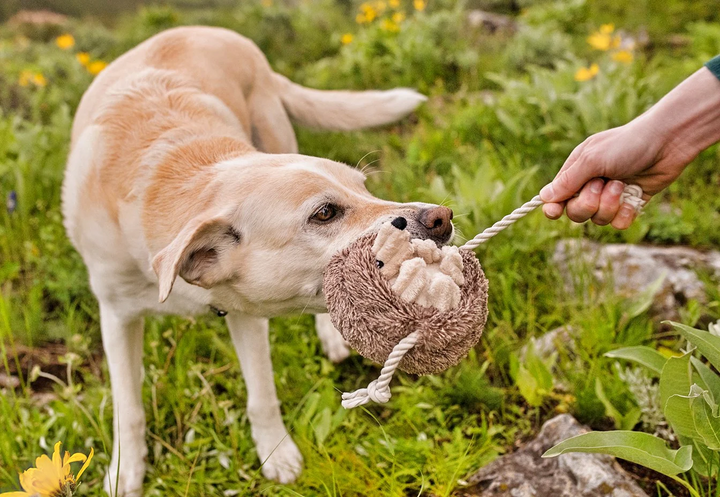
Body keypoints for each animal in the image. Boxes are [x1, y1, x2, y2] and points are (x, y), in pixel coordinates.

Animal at [63, 26, 456, 492]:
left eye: (365, 188)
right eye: (325, 213)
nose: (442, 218)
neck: (169, 173)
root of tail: (210, 30)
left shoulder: (245, 313)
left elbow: (262, 396)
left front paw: (275, 453)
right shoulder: (117, 316)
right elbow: (129, 410)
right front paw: (125, 472)